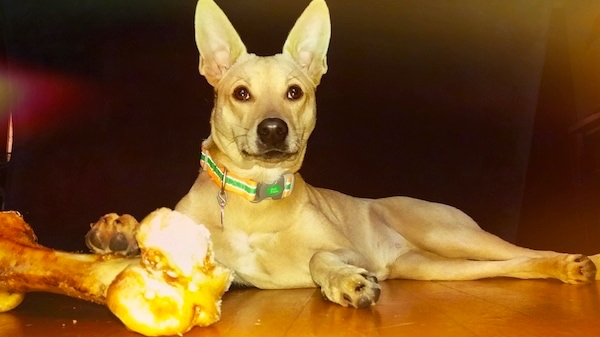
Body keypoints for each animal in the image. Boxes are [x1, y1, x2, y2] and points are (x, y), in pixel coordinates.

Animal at [89, 0, 600, 308]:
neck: (254, 197)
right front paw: (119, 234)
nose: (273, 130)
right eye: (240, 93)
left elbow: (321, 259)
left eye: (295, 92)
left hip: (451, 235)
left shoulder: (344, 248)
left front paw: (347, 282)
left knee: (525, 250)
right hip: (433, 265)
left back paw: (573, 261)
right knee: (513, 266)